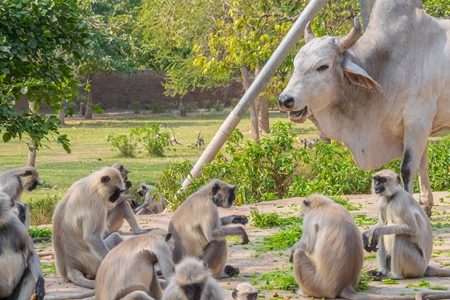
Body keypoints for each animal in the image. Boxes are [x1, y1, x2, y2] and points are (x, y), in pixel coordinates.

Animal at [278, 0, 450, 216]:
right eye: (295, 65)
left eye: (322, 66)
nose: (285, 100)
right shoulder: (420, 124)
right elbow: (422, 164)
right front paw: (425, 208)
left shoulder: (418, 118)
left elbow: (408, 168)